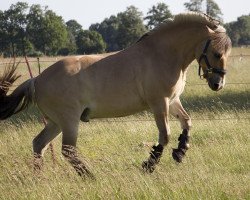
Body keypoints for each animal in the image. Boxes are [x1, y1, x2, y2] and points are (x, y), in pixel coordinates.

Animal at [0, 12, 231, 177]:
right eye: (216, 53)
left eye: (226, 54)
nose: (218, 84)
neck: (161, 54)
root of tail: (36, 80)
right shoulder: (159, 103)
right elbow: (164, 136)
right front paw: (148, 165)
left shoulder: (173, 101)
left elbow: (187, 122)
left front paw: (181, 151)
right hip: (69, 121)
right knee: (67, 150)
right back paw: (90, 176)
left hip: (56, 122)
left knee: (39, 144)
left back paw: (39, 176)